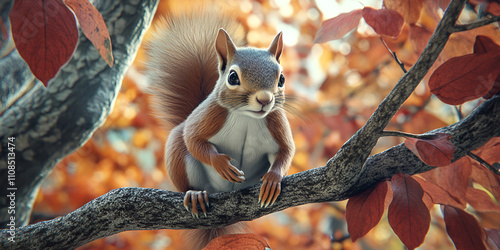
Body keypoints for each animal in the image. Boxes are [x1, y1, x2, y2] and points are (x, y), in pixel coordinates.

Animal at [146, 7, 292, 250]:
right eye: (232, 77)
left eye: (281, 78)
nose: (264, 100)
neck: (247, 117)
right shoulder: (213, 115)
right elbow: (193, 139)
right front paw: (222, 164)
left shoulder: (276, 121)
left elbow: (285, 152)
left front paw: (272, 179)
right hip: (179, 158)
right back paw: (195, 194)